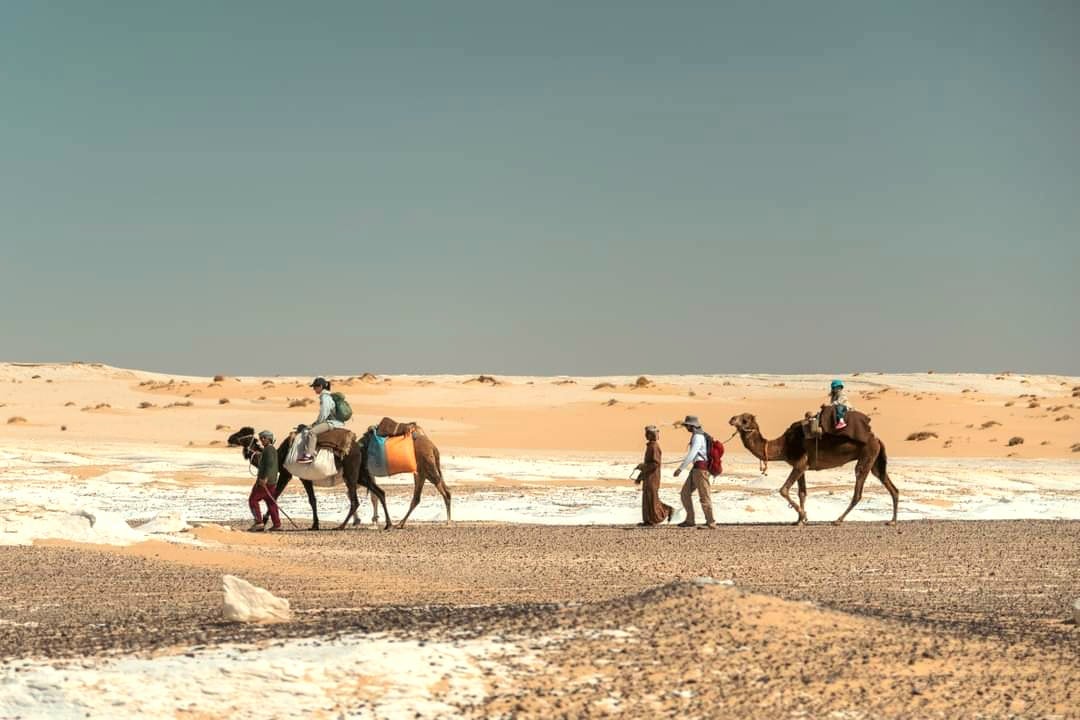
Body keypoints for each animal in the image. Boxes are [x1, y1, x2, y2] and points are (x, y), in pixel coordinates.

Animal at [226, 427, 393, 528]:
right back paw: (388, 524)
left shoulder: (291, 474)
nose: (229, 438)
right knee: (379, 492)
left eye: (242, 432)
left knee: (355, 500)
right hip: (361, 474)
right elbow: (307, 499)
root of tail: (359, 447)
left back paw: (341, 526)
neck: (280, 454)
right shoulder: (299, 476)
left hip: (351, 472)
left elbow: (281, 496)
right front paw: (315, 524)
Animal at [730, 414, 898, 526]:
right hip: (875, 459)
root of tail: (877, 438)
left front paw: (804, 516)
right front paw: (799, 521)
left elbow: (783, 490)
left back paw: (838, 520)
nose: (731, 418)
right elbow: (802, 493)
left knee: (858, 488)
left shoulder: (799, 463)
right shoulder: (802, 467)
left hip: (867, 455)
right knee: (888, 483)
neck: (783, 445)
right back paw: (892, 521)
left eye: (744, 420)